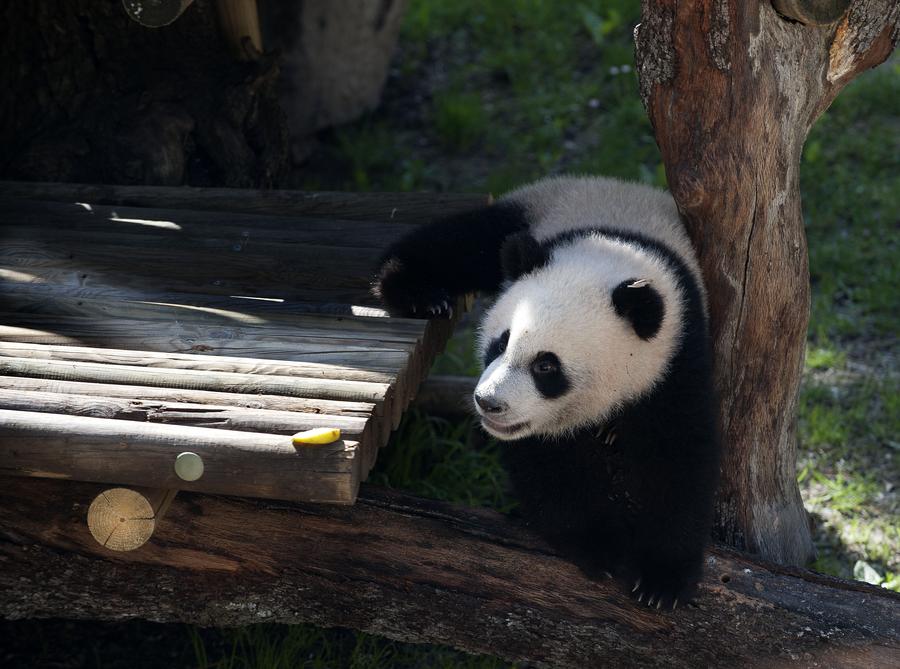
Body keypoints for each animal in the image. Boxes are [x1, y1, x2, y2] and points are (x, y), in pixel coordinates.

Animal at [376, 175, 720, 608]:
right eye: (500, 343)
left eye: (546, 366)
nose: (489, 403)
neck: (616, 254)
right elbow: (546, 462)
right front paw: (600, 545)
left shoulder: (677, 355)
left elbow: (678, 456)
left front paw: (662, 581)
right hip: (527, 211)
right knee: (460, 244)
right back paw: (417, 293)